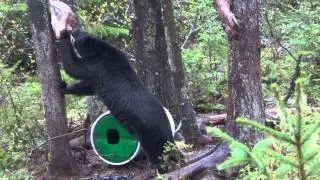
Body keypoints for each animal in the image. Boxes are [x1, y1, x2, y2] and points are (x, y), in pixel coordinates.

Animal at [57, 28, 179, 170]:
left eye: (78, 33)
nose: (73, 29)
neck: (100, 49)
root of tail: (168, 127)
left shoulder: (96, 66)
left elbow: (72, 67)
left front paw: (63, 35)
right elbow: (86, 87)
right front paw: (63, 87)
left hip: (148, 132)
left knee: (155, 152)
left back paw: (157, 167)